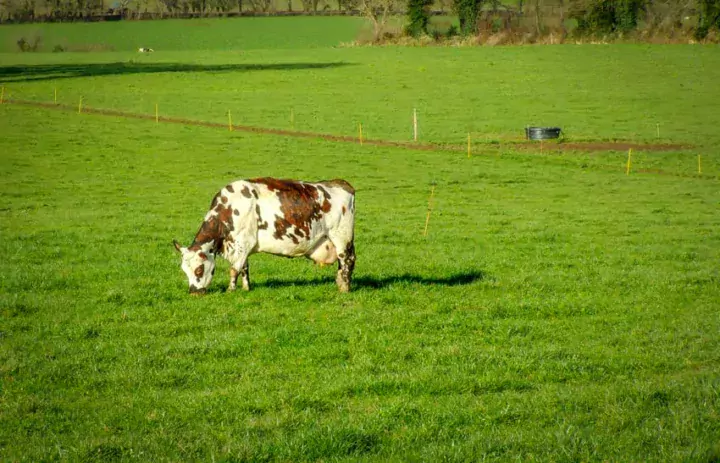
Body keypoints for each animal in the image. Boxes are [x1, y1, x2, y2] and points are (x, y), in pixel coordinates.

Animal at [173, 178, 356, 294]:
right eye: (184, 270)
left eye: (198, 269)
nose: (193, 292)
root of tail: (340, 183)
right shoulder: (242, 247)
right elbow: (244, 268)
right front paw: (246, 288)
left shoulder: (243, 242)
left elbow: (234, 269)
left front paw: (230, 290)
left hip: (342, 237)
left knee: (347, 261)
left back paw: (344, 289)